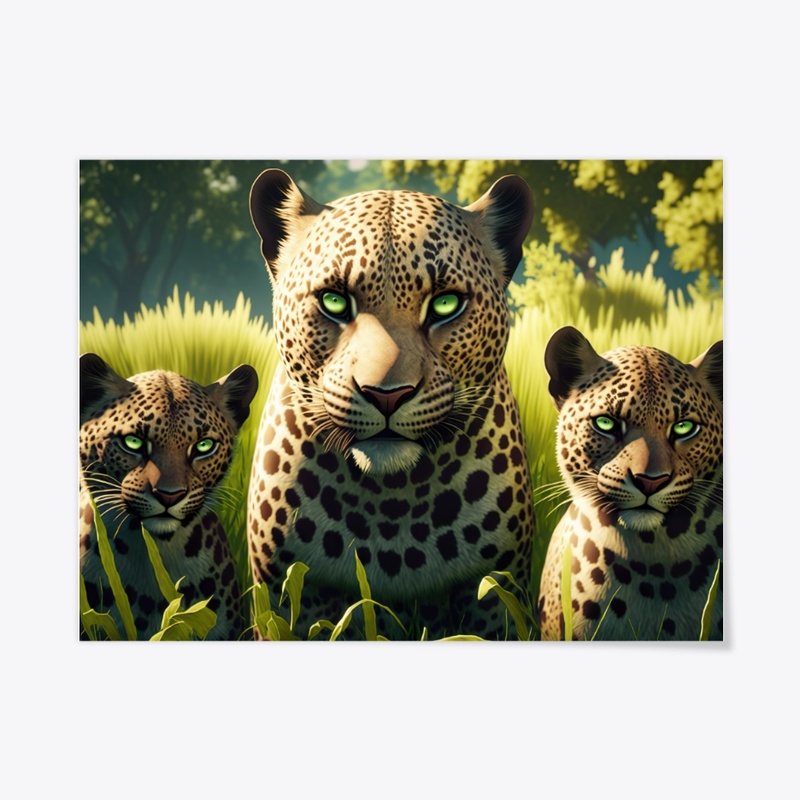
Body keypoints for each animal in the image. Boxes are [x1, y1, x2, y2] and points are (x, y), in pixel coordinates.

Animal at [246, 168, 536, 640]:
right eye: (334, 301)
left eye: (445, 304)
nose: (386, 394)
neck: (390, 504)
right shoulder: (285, 592)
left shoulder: (497, 590)